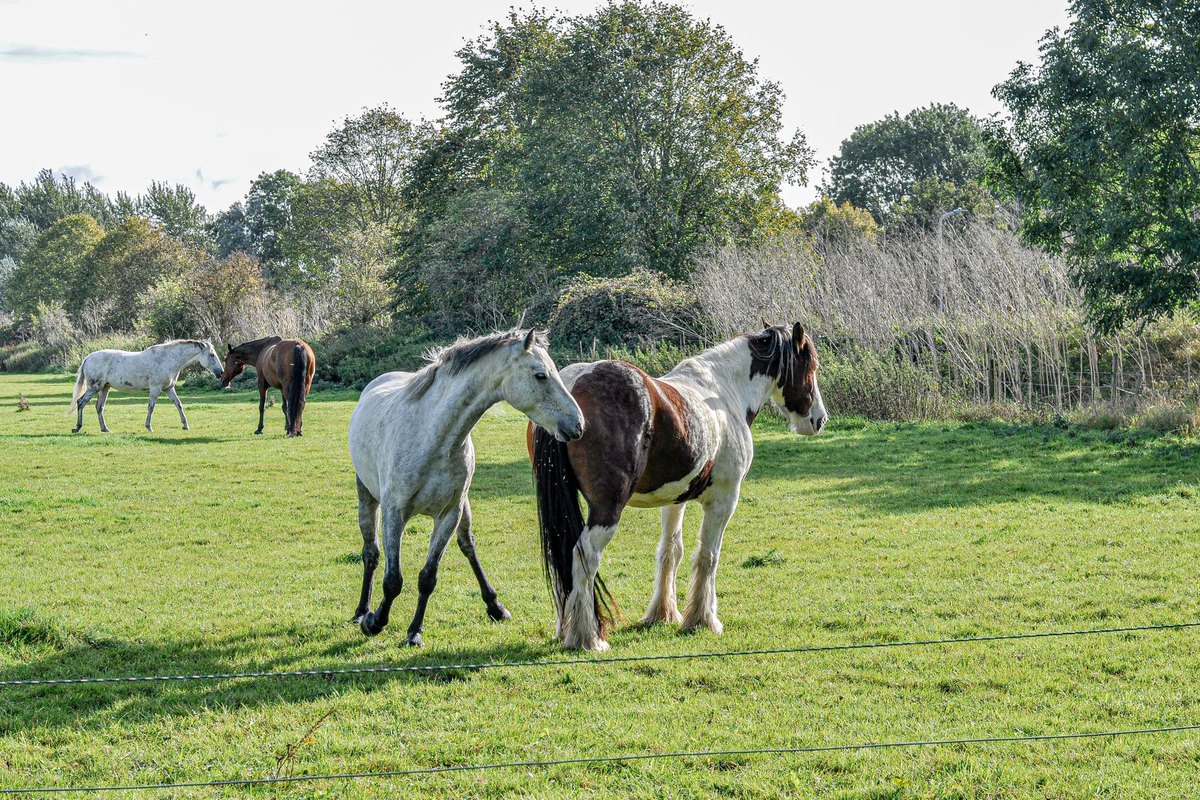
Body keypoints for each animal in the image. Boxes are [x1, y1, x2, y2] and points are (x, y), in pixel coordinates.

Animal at [68, 339, 225, 433]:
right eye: (212, 355)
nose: (221, 372)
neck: (167, 359)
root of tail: (88, 358)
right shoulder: (155, 388)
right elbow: (151, 407)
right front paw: (149, 427)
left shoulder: (169, 389)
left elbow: (178, 404)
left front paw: (185, 425)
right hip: (94, 387)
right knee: (80, 402)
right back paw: (77, 427)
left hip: (105, 388)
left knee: (99, 407)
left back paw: (105, 429)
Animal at [348, 328, 584, 647]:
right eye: (540, 376)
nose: (578, 424)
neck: (431, 435)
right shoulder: (394, 513)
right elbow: (393, 579)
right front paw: (374, 622)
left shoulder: (449, 513)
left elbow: (428, 577)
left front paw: (414, 632)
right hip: (367, 497)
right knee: (371, 553)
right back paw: (361, 611)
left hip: (463, 509)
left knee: (468, 546)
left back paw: (495, 606)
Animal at [530, 322, 828, 651]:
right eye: (811, 366)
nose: (819, 419)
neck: (724, 391)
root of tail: (571, 390)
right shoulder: (724, 501)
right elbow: (708, 556)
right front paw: (702, 620)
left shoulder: (674, 500)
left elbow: (670, 551)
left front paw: (662, 614)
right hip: (607, 511)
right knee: (585, 557)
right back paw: (587, 638)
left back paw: (565, 629)